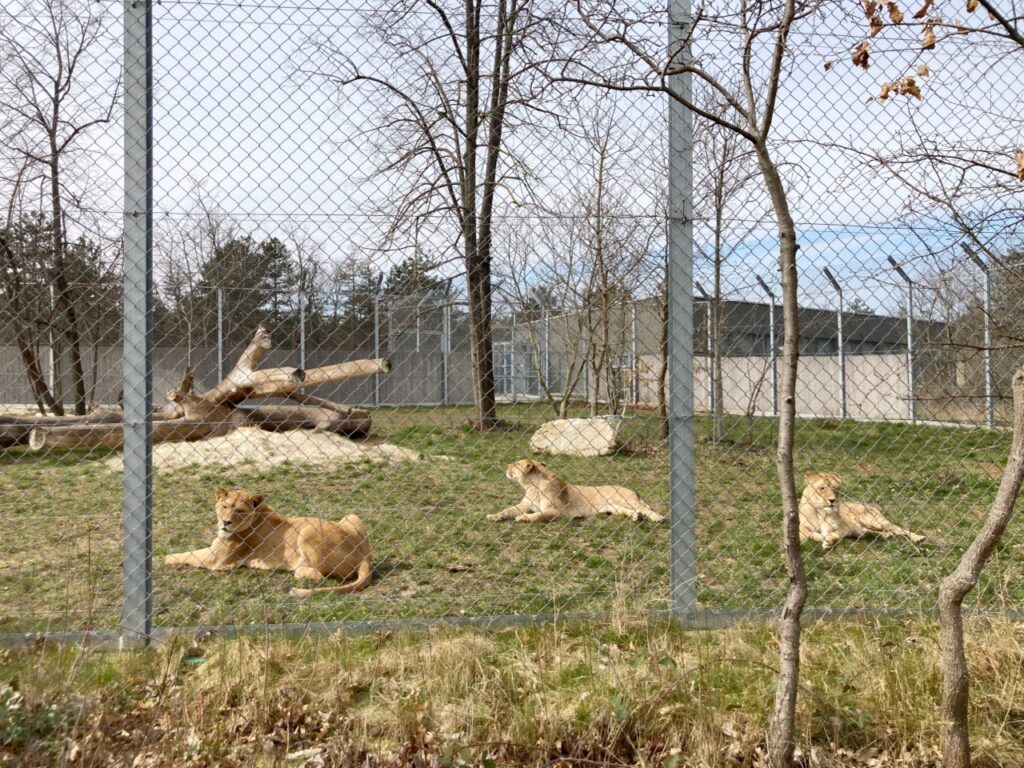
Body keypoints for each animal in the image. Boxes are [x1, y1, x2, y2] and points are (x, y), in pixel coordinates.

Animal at [165, 489, 374, 598]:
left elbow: (188, 554)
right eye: (224, 507)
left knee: (319, 575)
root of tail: (365, 558)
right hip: (351, 516)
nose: (226, 522)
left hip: (307, 530)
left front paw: (166, 557)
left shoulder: (216, 560)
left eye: (239, 511)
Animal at [487, 462, 663, 524]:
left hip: (625, 500)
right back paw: (636, 517)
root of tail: (634, 491)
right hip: (615, 507)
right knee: (633, 511)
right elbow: (508, 510)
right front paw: (494, 516)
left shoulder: (556, 511)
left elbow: (538, 515)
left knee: (646, 508)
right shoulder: (524, 504)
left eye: (515, 464)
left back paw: (658, 518)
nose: (506, 466)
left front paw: (524, 518)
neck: (531, 486)